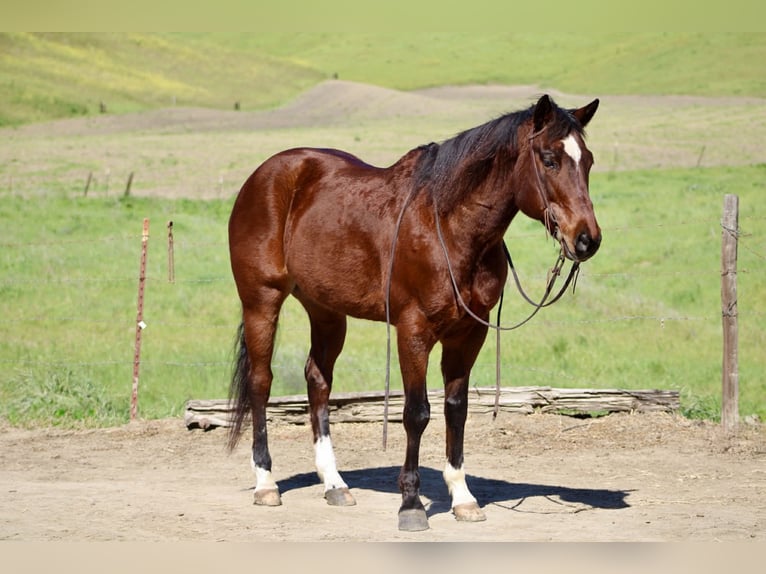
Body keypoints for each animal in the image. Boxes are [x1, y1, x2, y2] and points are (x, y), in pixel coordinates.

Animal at [226, 94, 601, 531]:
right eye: (549, 159)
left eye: (588, 160)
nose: (587, 240)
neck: (450, 227)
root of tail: (265, 174)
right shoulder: (414, 330)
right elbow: (416, 413)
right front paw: (411, 504)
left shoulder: (469, 334)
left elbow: (456, 410)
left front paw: (463, 498)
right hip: (262, 301)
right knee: (261, 383)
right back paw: (265, 483)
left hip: (326, 311)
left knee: (318, 379)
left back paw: (334, 484)